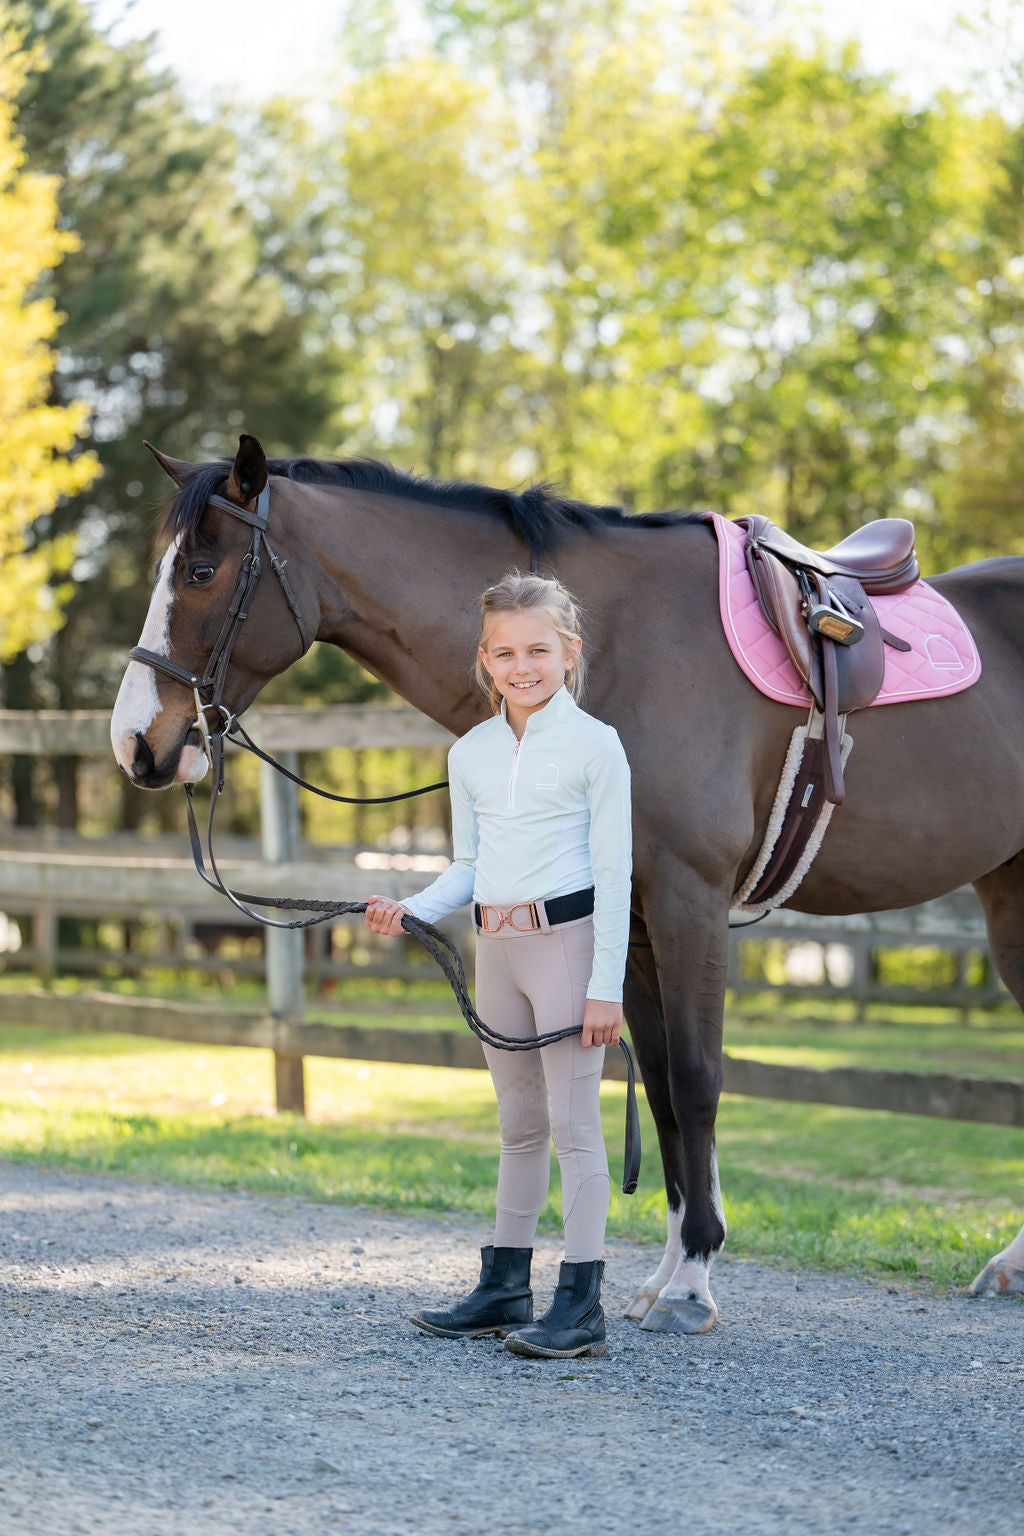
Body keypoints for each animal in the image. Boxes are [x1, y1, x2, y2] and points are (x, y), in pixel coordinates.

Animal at [111, 433, 1024, 1330]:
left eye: (201, 572)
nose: (137, 745)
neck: (619, 645)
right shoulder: (637, 923)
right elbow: (660, 1088)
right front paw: (668, 1269)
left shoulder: (689, 901)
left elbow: (697, 1078)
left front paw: (693, 1281)